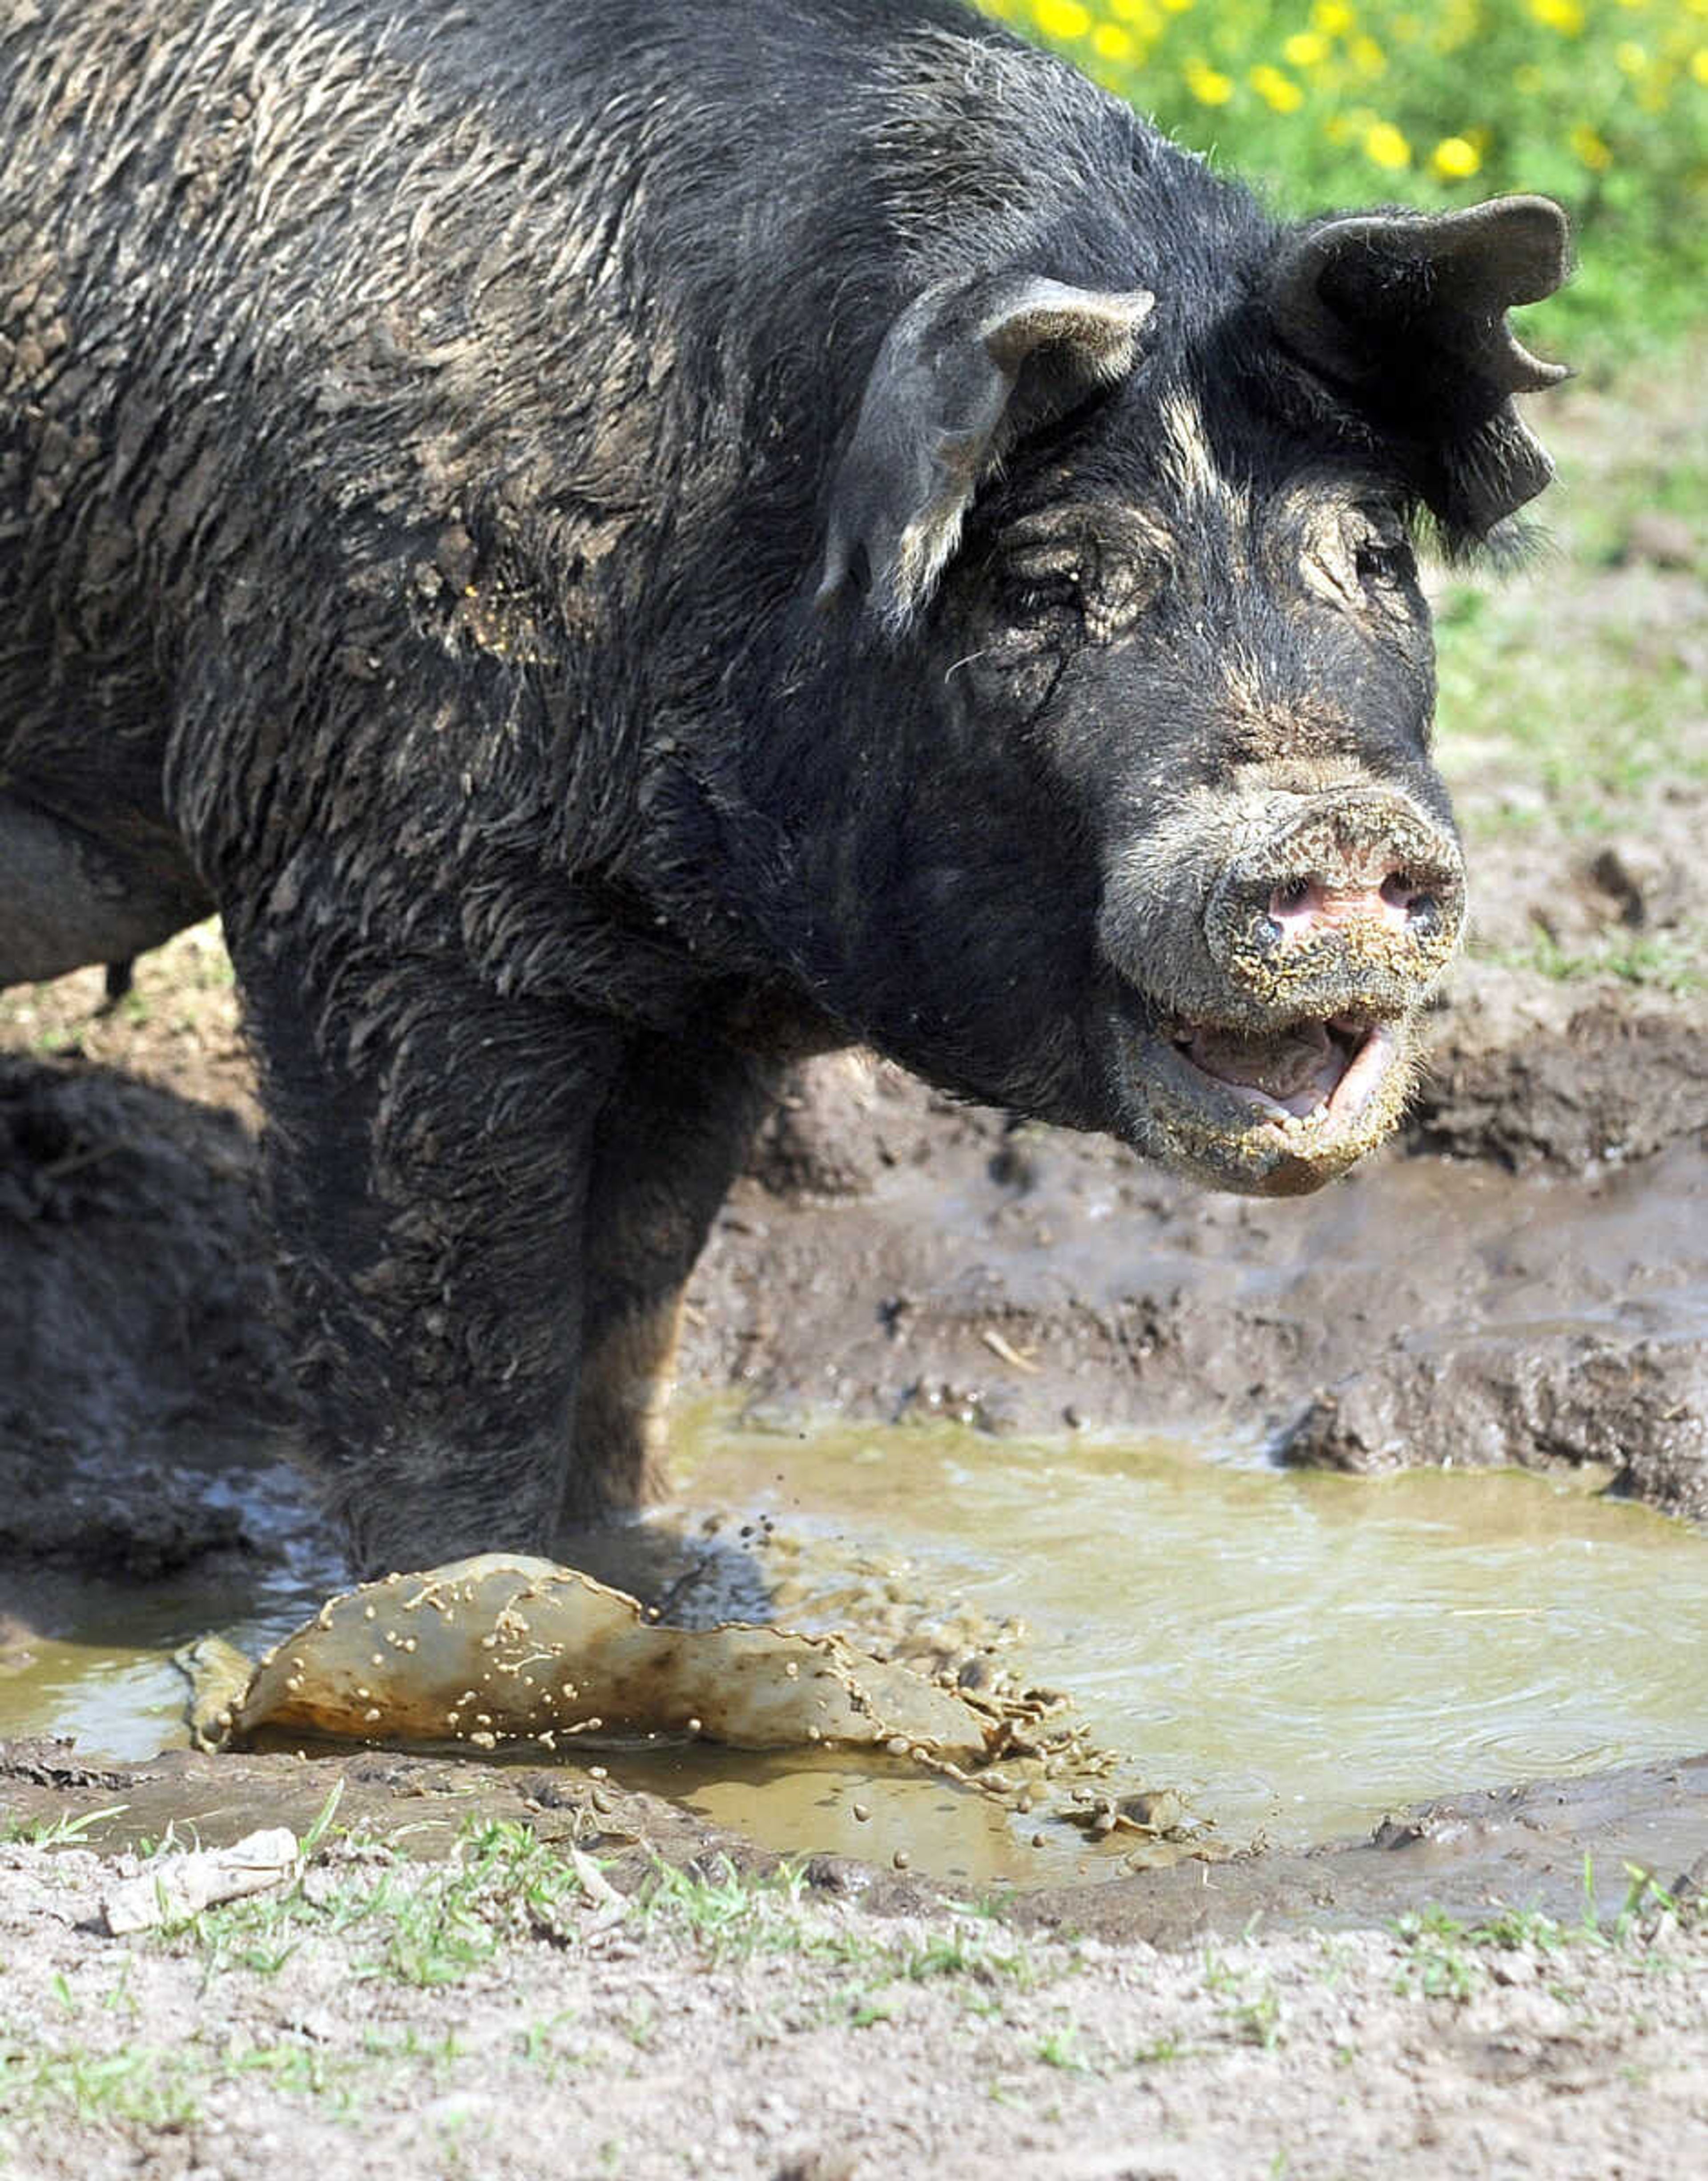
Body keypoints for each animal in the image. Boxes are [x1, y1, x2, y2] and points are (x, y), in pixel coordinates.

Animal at [0, 0, 1571, 1570]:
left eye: (1370, 556)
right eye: (1043, 588)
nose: (1330, 822)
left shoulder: (692, 998)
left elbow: (629, 1299)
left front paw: (628, 1560)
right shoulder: (367, 887)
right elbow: (454, 1333)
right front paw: (479, 1595)